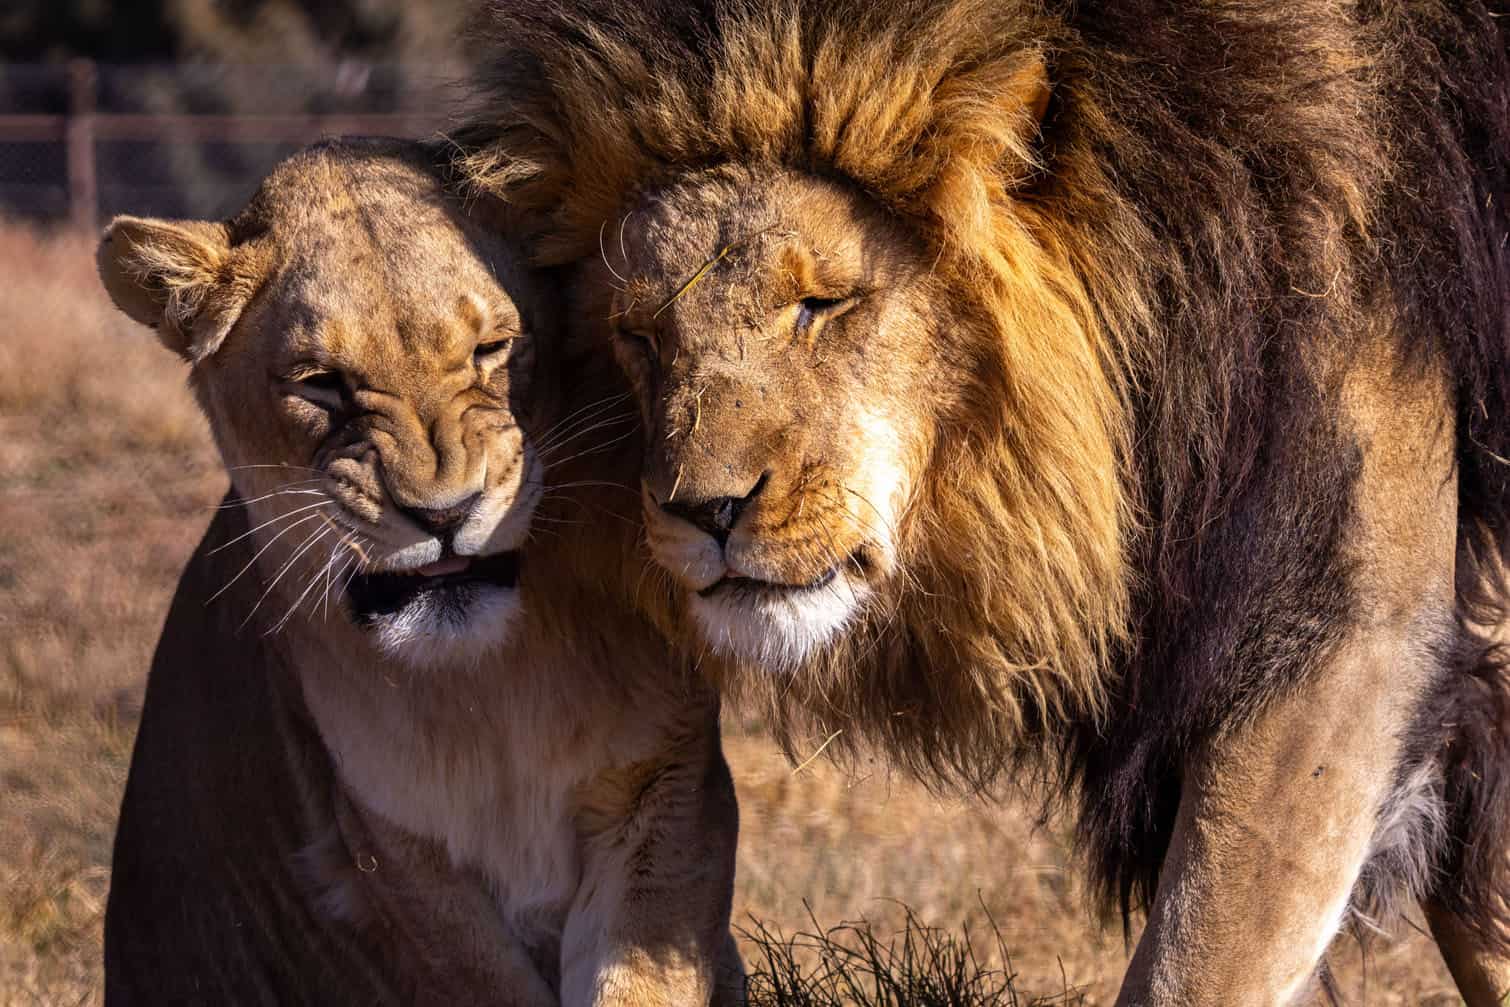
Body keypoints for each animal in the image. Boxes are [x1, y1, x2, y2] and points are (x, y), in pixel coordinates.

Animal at [97, 138, 743, 1005]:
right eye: (320, 383)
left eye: (491, 349)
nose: (443, 514)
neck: (493, 683)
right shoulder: (393, 858)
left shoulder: (665, 786)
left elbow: (640, 979)